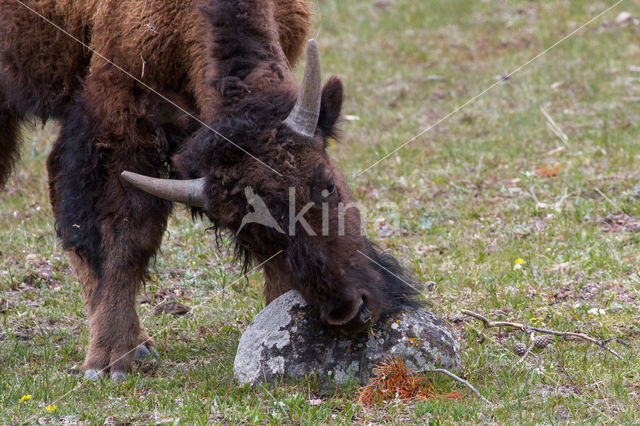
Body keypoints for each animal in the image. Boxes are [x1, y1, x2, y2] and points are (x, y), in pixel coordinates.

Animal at [0, 0, 420, 380]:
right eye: (250, 231)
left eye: (329, 184)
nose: (349, 311)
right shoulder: (119, 118)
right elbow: (122, 236)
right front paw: (110, 362)